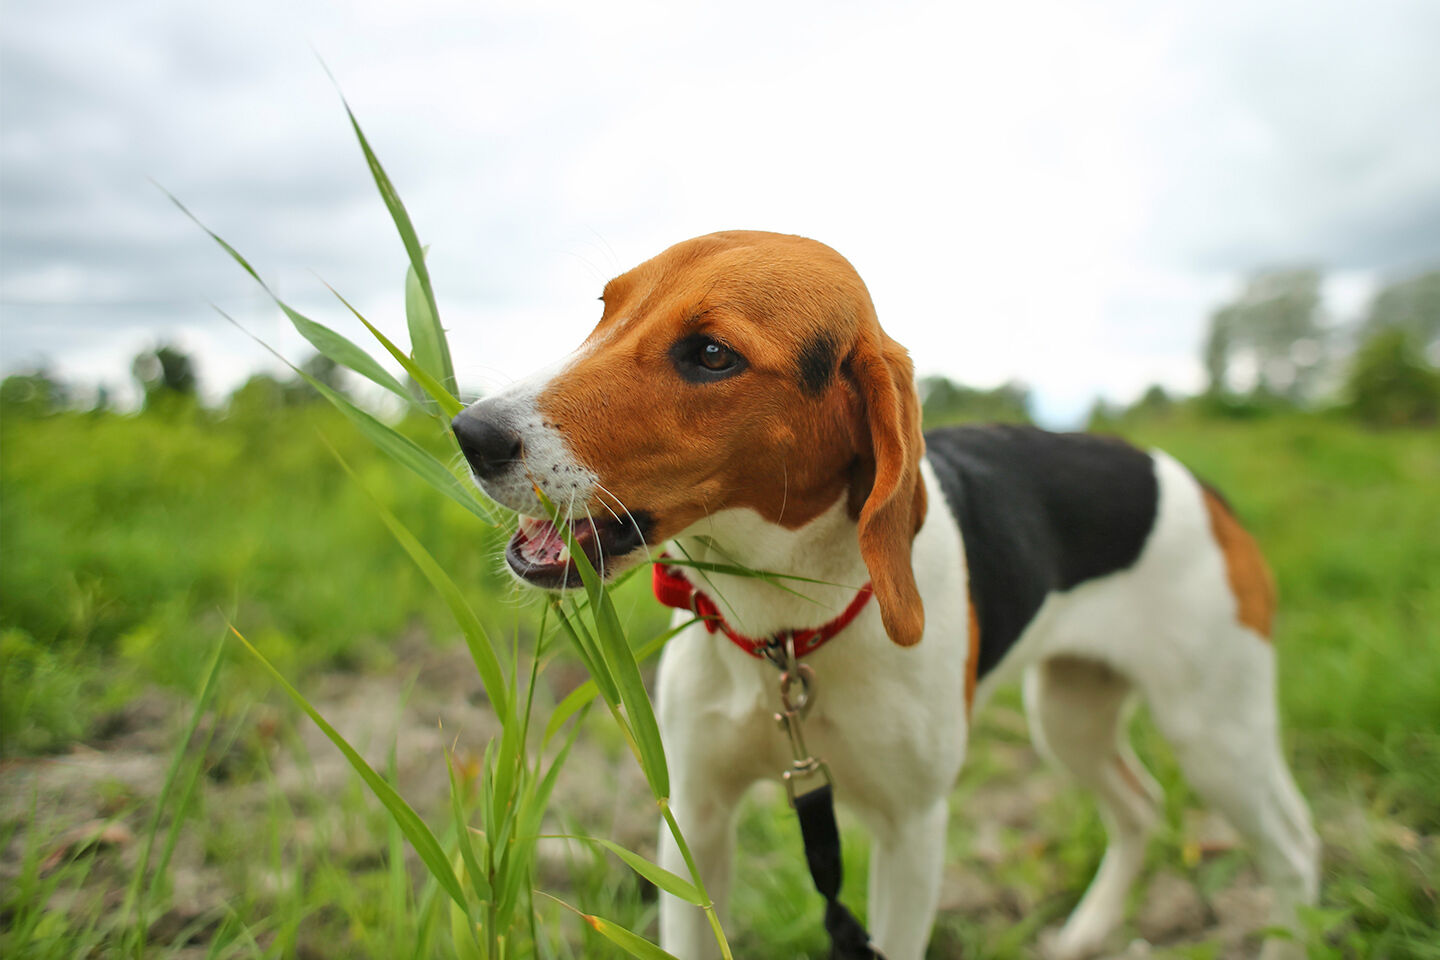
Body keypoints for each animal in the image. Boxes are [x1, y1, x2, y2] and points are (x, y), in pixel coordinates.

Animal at [455, 233, 1319, 960]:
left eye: (710, 354)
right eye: (606, 310)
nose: (471, 434)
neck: (785, 629)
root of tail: (1193, 482)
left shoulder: (912, 835)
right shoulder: (695, 817)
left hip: (1216, 734)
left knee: (1293, 851)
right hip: (1069, 714)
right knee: (1140, 810)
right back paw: (1084, 934)